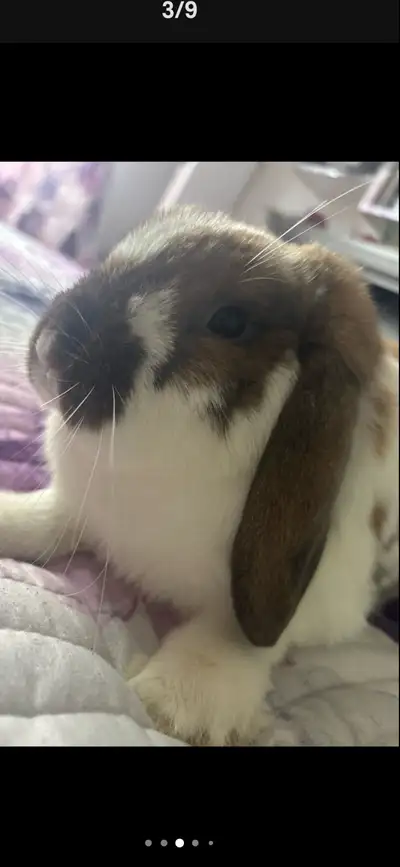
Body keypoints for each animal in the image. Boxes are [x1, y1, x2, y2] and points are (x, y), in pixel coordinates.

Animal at [0, 206, 398, 746]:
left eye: (230, 322)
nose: (50, 346)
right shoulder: (80, 508)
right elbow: (49, 521)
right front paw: (8, 520)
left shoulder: (302, 595)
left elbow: (241, 634)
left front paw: (178, 704)